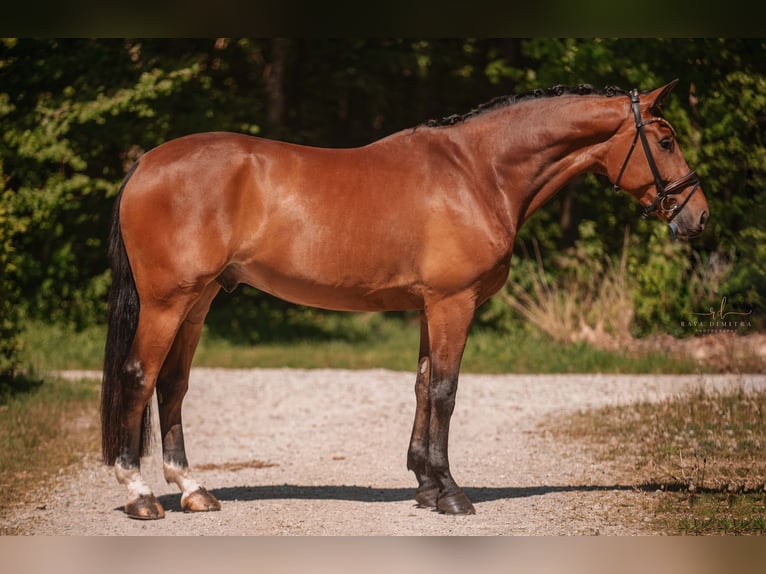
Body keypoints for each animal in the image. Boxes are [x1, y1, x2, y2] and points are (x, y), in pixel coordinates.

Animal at [101, 80, 708, 519]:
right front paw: (453, 494)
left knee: (173, 384)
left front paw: (426, 485)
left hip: (198, 300)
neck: (479, 172)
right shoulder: (452, 303)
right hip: (167, 302)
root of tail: (145, 163)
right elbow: (444, 391)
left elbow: (421, 386)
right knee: (139, 376)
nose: (698, 217)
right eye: (667, 140)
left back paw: (193, 489)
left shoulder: (428, 307)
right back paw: (140, 495)